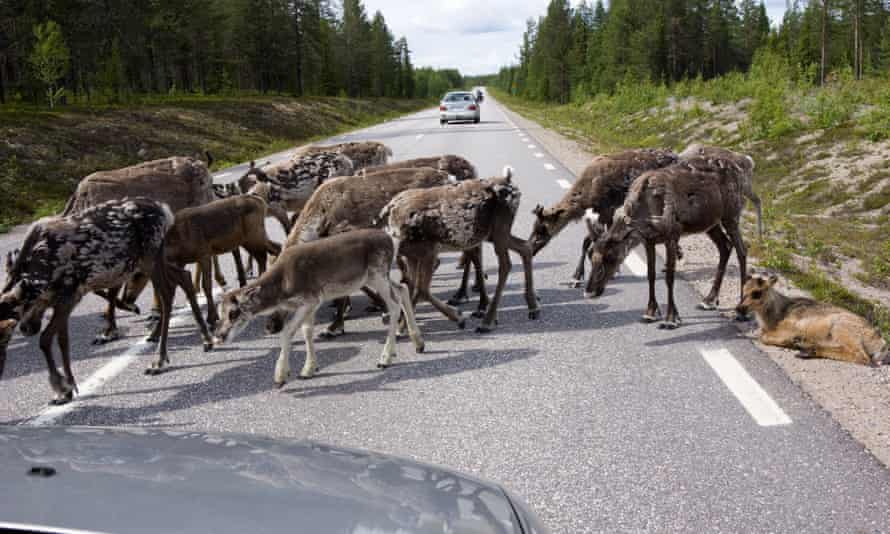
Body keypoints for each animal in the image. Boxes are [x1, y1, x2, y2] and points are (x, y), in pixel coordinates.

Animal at [212, 229, 424, 385]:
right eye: (219, 313)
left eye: (233, 313)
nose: (219, 337)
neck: (282, 288)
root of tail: (392, 240)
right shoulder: (310, 303)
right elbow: (307, 331)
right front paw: (308, 370)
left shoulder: (311, 298)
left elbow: (287, 331)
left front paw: (281, 376)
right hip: (378, 277)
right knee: (403, 288)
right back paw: (418, 344)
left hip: (377, 273)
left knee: (394, 304)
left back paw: (385, 358)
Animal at [381, 167, 540, 333]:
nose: (384, 315)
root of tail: (510, 182)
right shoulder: (411, 256)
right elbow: (410, 287)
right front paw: (403, 326)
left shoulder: (429, 251)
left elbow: (421, 289)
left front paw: (458, 317)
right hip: (491, 233)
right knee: (525, 247)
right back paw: (533, 308)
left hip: (500, 227)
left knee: (506, 264)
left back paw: (487, 321)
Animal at [528, 148, 678, 287]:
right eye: (533, 228)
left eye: (542, 229)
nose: (531, 249)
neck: (587, 194)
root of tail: (677, 156)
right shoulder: (606, 211)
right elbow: (593, 241)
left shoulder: (606, 209)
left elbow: (589, 243)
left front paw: (579, 276)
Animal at [585, 148, 754, 329]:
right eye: (591, 255)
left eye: (610, 256)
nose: (589, 292)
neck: (645, 212)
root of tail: (744, 166)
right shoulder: (649, 241)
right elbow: (651, 275)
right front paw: (650, 312)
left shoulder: (672, 236)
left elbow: (669, 277)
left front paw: (671, 318)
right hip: (711, 223)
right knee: (725, 246)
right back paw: (709, 300)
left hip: (731, 214)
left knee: (742, 251)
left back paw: (741, 310)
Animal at [737, 273, 888, 366]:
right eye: (743, 290)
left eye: (757, 292)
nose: (739, 308)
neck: (776, 315)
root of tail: (882, 344)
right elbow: (762, 335)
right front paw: (794, 341)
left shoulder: (792, 325)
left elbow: (763, 337)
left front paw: (791, 340)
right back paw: (805, 348)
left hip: (843, 328)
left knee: (861, 356)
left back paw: (804, 347)